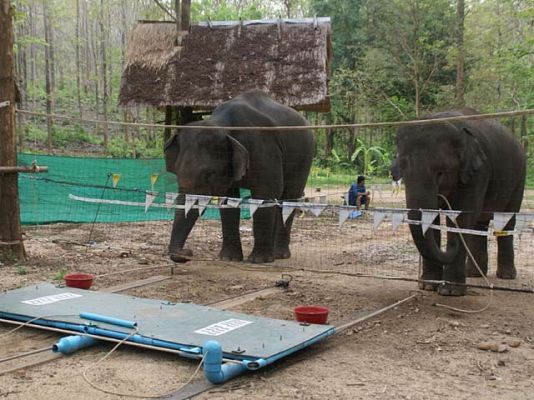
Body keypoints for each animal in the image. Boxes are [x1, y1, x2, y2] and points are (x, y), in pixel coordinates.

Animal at [163, 91, 314, 266]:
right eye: (177, 172)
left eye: (208, 174)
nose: (187, 252)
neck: (222, 124)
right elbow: (229, 200)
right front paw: (229, 258)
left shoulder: (264, 149)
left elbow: (266, 192)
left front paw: (258, 260)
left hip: (304, 155)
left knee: (289, 196)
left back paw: (279, 255)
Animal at [398, 108, 528, 296]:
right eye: (402, 170)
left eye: (441, 172)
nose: (450, 246)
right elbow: (433, 219)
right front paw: (428, 286)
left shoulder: (479, 172)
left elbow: (463, 216)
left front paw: (450, 291)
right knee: (479, 225)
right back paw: (473, 274)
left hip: (519, 178)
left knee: (506, 220)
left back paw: (506, 276)